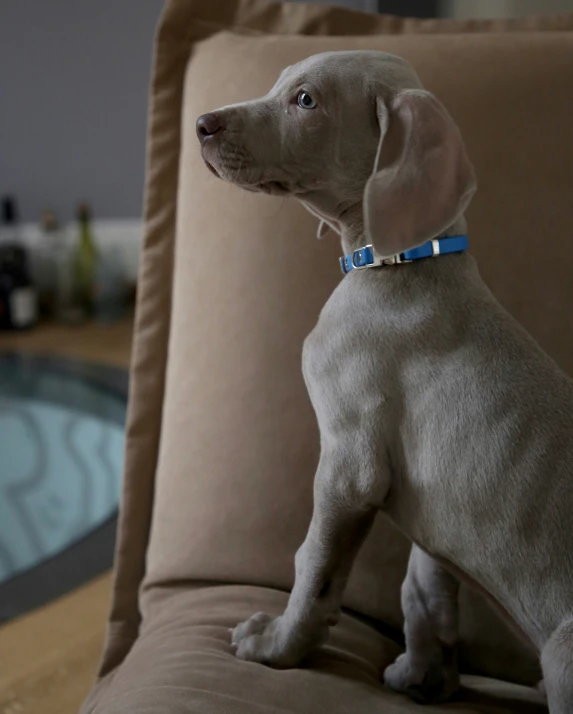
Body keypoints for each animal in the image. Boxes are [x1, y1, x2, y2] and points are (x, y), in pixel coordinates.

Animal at [197, 51, 572, 712]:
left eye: (305, 100)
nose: (201, 124)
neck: (403, 262)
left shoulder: (351, 466)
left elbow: (315, 567)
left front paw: (279, 645)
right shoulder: (433, 513)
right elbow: (421, 590)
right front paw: (425, 676)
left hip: (563, 651)